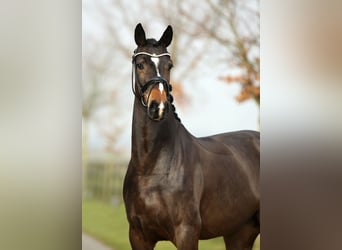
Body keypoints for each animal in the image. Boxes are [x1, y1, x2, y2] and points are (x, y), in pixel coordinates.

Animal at [123, 23, 260, 248]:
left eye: (169, 65)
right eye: (140, 64)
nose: (158, 107)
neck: (152, 167)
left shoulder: (187, 232)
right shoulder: (138, 235)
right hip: (239, 234)